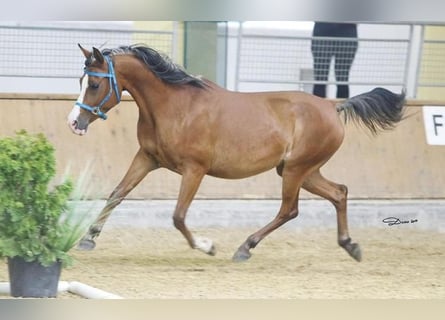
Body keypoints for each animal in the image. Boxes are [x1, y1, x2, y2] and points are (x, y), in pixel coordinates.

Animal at [67, 43, 404, 262]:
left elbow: (178, 215)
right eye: (81, 80)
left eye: (94, 84)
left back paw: (245, 247)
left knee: (290, 209)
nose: (74, 123)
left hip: (296, 170)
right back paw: (350, 245)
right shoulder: (147, 158)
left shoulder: (195, 169)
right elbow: (117, 194)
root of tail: (333, 106)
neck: (174, 107)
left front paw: (207, 246)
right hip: (302, 170)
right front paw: (87, 239)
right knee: (339, 193)